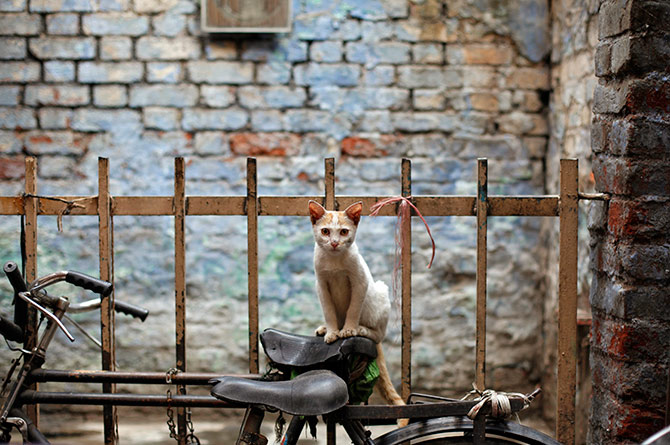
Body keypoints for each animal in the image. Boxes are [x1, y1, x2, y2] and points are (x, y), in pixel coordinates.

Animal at [310, 200, 404, 406]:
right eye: (325, 231)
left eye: (344, 232)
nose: (334, 242)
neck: (335, 260)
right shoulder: (321, 285)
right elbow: (328, 311)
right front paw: (331, 332)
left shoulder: (360, 282)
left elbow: (353, 309)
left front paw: (349, 330)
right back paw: (325, 329)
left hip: (381, 292)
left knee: (378, 335)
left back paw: (362, 330)